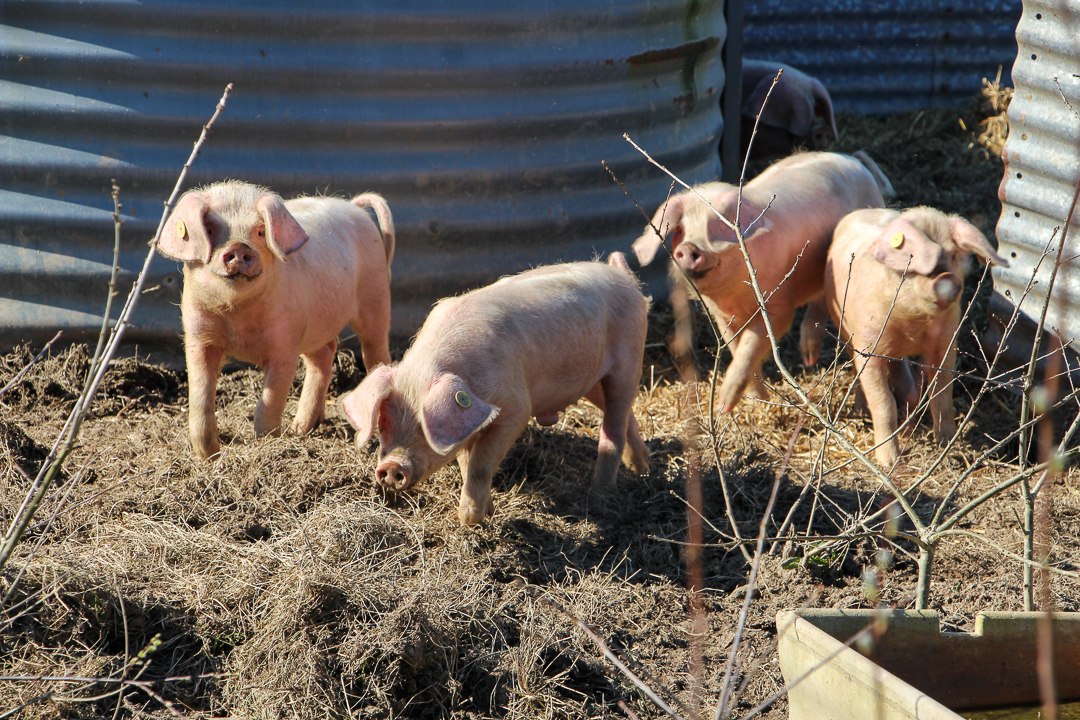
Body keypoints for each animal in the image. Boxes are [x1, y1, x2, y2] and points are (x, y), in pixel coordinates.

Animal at [156, 183, 397, 459]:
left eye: (260, 231)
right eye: (210, 229)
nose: (239, 247)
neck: (237, 317)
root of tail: (353, 206)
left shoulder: (286, 343)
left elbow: (270, 402)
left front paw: (266, 446)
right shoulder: (198, 337)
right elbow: (200, 397)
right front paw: (209, 457)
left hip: (375, 295)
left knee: (375, 351)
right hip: (316, 324)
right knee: (324, 355)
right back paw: (300, 429)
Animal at [341, 255, 652, 526]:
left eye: (424, 427)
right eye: (383, 421)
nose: (392, 466)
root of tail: (623, 276)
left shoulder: (516, 409)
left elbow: (480, 464)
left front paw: (470, 520)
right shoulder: (469, 419)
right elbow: (467, 461)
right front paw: (487, 512)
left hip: (629, 359)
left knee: (614, 424)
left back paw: (601, 495)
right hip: (592, 380)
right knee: (625, 415)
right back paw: (642, 468)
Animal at [630, 150, 889, 414]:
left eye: (719, 225)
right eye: (681, 229)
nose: (687, 247)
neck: (733, 297)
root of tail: (853, 159)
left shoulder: (778, 308)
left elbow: (750, 348)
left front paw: (723, 405)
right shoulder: (722, 317)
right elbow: (738, 350)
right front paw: (753, 402)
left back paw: (810, 361)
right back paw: (809, 358)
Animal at [825, 208, 1010, 468]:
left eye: (953, 256)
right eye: (912, 263)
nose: (946, 280)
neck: (912, 323)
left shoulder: (946, 344)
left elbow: (942, 395)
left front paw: (947, 445)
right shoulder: (868, 345)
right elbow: (884, 403)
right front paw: (889, 462)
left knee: (900, 369)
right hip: (842, 326)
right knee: (857, 368)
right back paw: (862, 411)